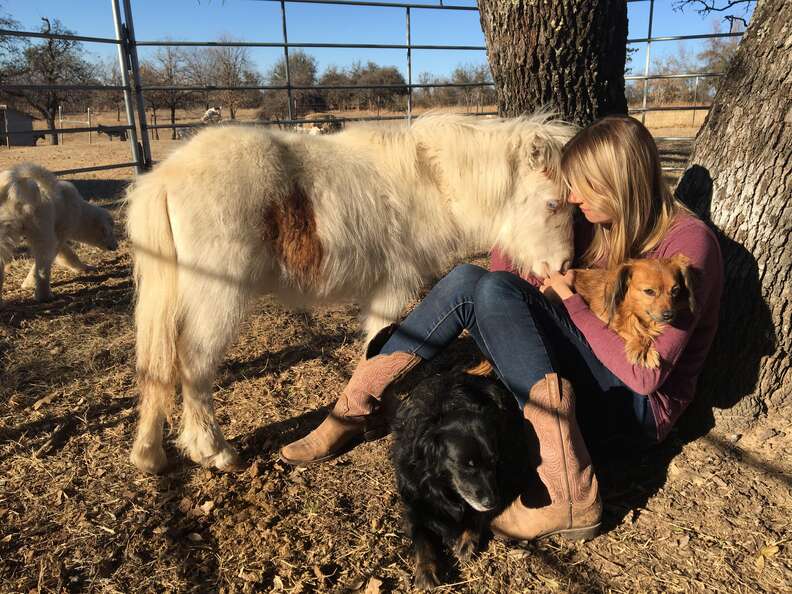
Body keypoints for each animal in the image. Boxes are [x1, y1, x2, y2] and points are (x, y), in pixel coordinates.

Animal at [392, 372, 532, 584]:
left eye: (494, 460)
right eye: (466, 464)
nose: (491, 502)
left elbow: (477, 515)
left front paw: (467, 540)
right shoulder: (414, 499)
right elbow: (421, 534)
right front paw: (426, 568)